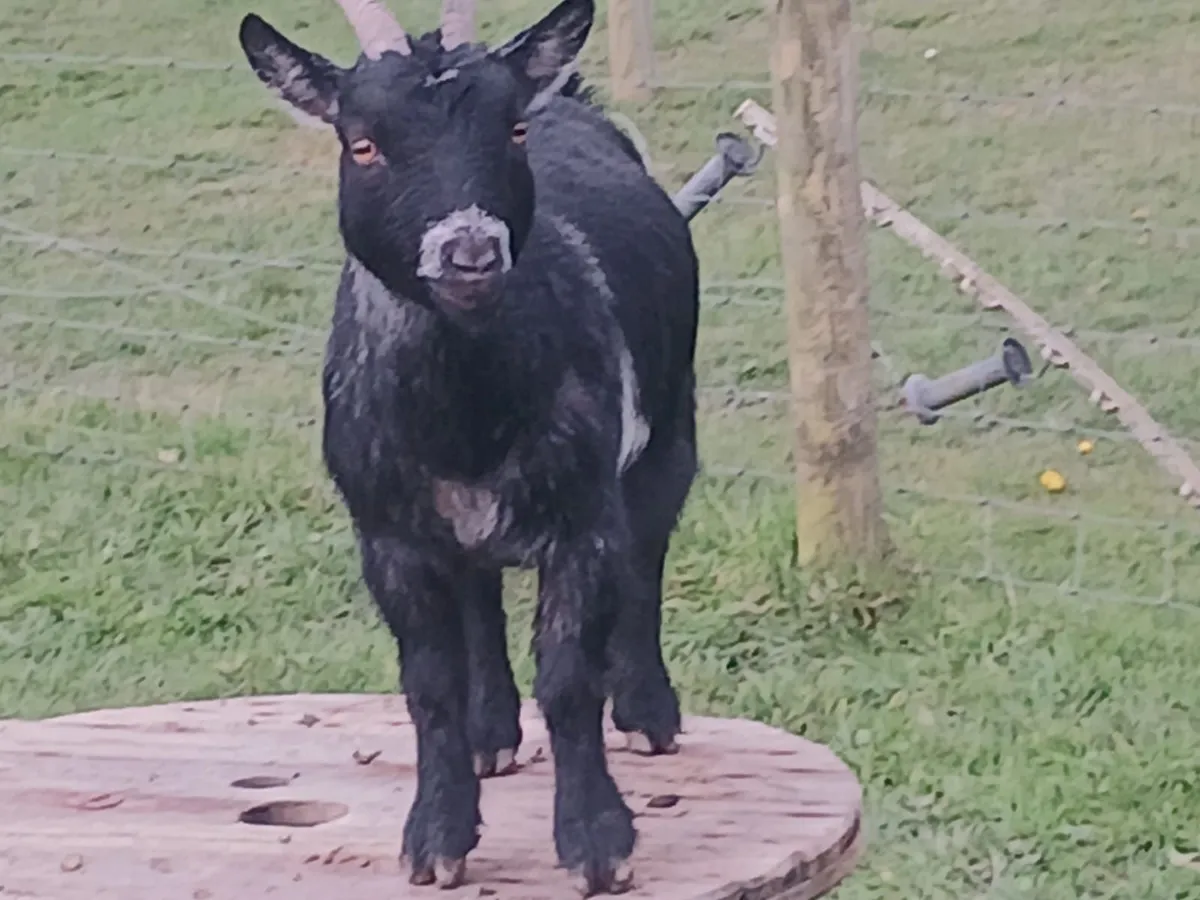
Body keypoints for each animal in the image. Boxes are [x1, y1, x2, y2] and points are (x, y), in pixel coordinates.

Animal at [238, 0, 700, 893]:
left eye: (510, 129)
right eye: (363, 143)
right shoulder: (387, 536)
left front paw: (597, 841)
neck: (466, 419)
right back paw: (492, 736)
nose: (471, 251)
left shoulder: (583, 518)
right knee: (480, 596)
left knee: (648, 552)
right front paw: (437, 838)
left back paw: (646, 711)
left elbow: (568, 676)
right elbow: (429, 683)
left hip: (671, 424)